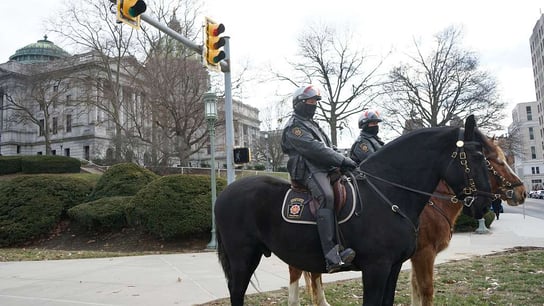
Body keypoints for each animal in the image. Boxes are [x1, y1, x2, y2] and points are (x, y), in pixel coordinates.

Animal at [216, 115, 492, 306]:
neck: (389, 193)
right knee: (237, 292)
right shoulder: (376, 268)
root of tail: (226, 192)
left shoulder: (393, 267)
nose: (486, 204)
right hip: (243, 256)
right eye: (478, 156)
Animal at [288, 140, 528, 304]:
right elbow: (426, 289)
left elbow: (415, 288)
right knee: (297, 273)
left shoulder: (409, 258)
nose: (522, 191)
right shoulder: (424, 254)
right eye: (496, 161)